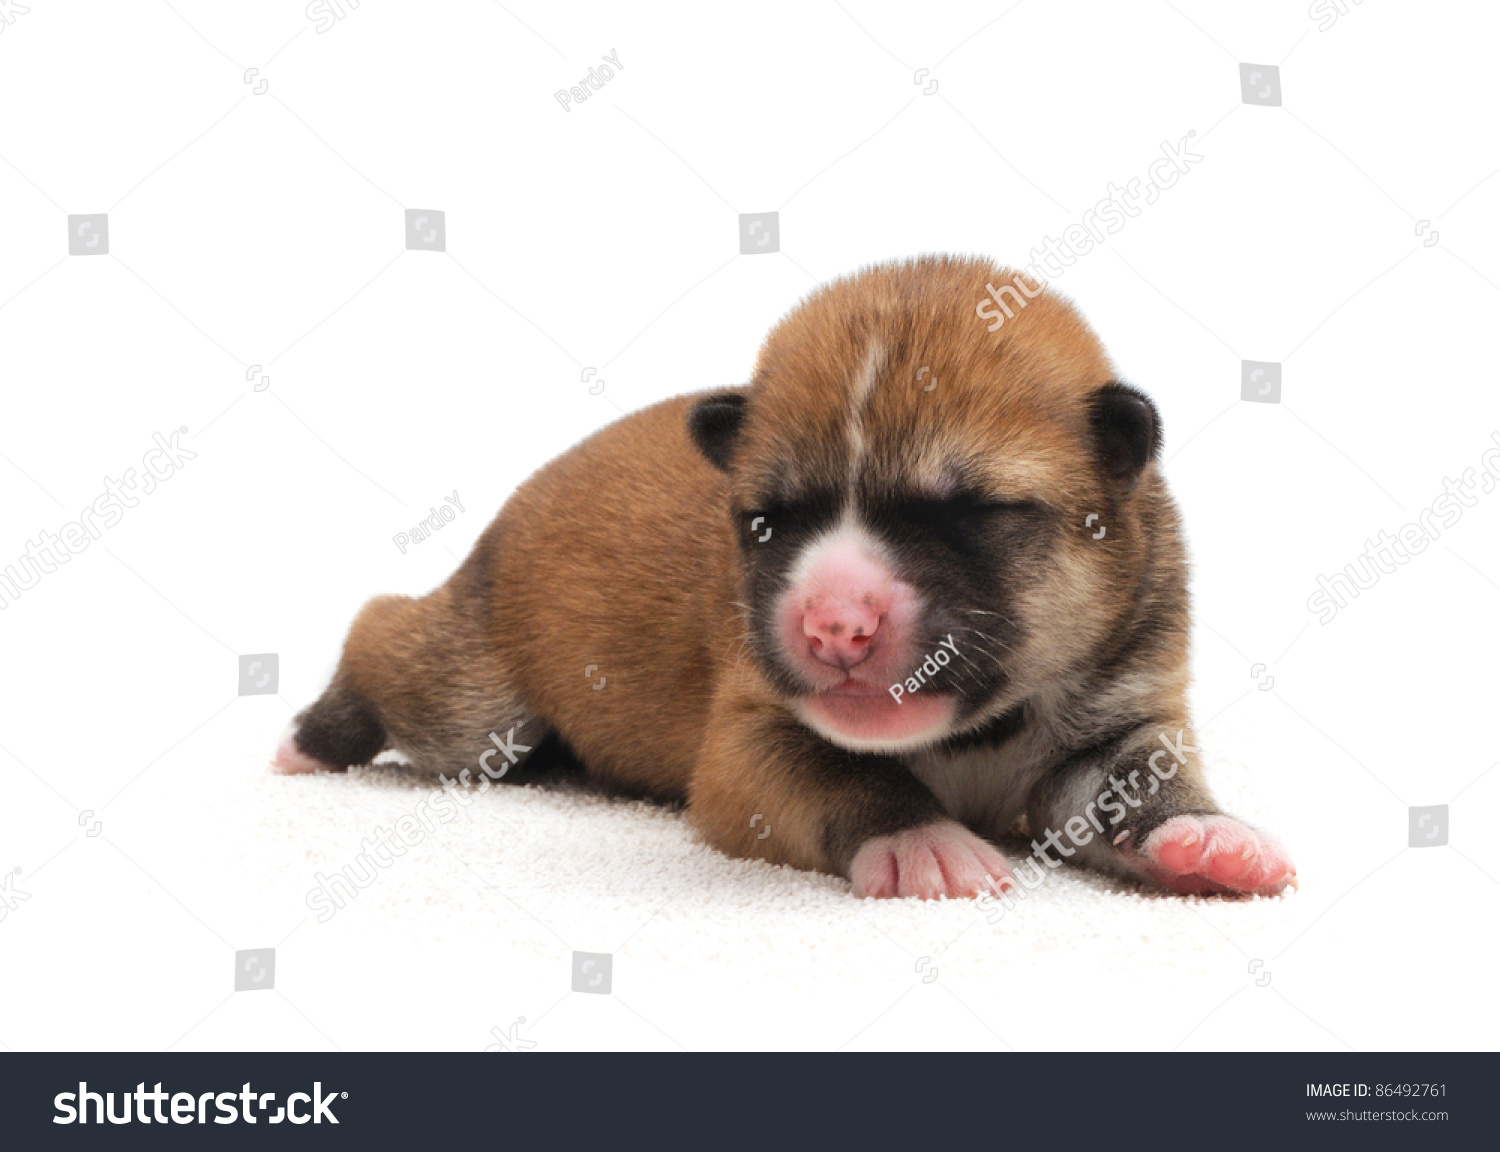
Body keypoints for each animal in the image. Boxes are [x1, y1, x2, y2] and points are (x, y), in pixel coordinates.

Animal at [276, 255, 1296, 900]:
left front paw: (1203, 836)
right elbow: (839, 776)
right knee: (384, 635)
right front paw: (921, 839)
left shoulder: (1123, 714)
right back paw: (310, 739)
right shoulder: (747, 743)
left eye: (967, 513)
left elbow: (1136, 781)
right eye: (768, 521)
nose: (834, 625)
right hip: (470, 704)